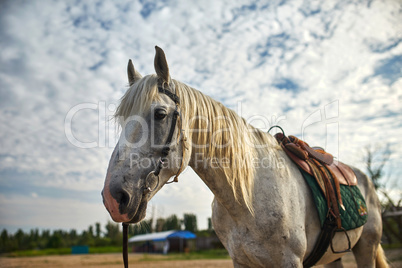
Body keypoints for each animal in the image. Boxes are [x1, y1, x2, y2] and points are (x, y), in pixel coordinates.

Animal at [102, 47, 388, 266]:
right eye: (122, 120)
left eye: (160, 114)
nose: (114, 198)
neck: (246, 198)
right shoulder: (241, 260)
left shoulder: (290, 261)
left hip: (366, 248)